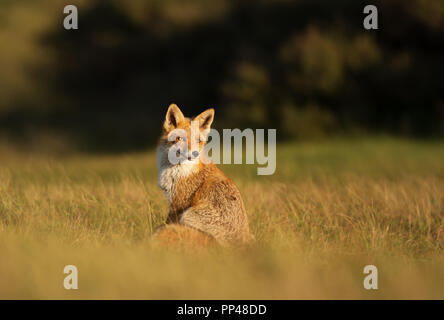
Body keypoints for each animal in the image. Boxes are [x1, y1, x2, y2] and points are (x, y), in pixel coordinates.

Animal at [153, 104, 253, 246]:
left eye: (198, 140)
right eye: (180, 138)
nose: (194, 153)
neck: (176, 170)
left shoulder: (178, 205)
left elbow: (167, 222)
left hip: (186, 216)